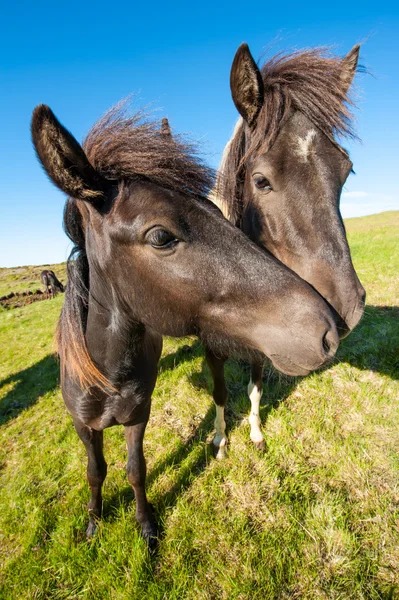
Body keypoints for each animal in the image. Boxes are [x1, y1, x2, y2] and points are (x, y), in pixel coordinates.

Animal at [32, 99, 340, 548]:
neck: (106, 372)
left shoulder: (137, 417)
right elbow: (95, 472)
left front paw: (145, 526)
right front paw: (93, 523)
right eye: (161, 236)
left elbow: (135, 471)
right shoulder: (83, 426)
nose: (327, 330)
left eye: (215, 211)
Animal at [209, 43, 368, 454]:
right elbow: (220, 393)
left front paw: (255, 433)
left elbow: (255, 388)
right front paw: (220, 441)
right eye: (261, 180)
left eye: (347, 170)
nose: (342, 308)